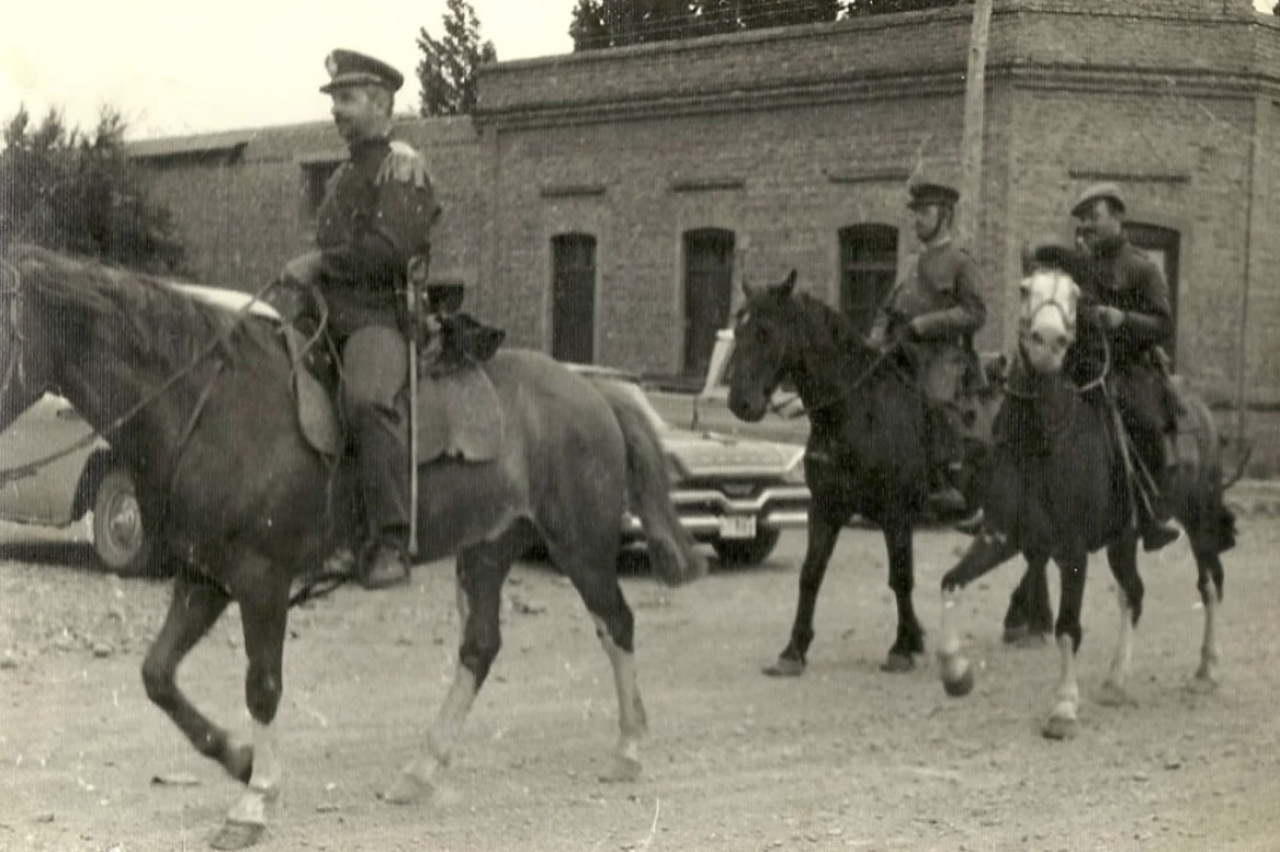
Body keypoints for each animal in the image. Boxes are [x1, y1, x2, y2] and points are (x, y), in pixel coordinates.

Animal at [0, 241, 701, 844]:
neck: (211, 408)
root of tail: (594, 389)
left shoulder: (261, 582)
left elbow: (262, 685)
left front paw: (254, 801)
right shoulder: (203, 579)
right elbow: (157, 676)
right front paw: (239, 759)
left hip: (579, 542)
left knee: (616, 623)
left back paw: (628, 749)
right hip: (488, 549)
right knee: (481, 647)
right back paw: (420, 771)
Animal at [936, 266, 1233, 736]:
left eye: (1076, 297)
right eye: (1024, 289)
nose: (1049, 340)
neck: (1042, 438)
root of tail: (1202, 411)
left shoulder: (1071, 552)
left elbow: (1067, 628)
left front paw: (1063, 707)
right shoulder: (1002, 537)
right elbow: (952, 581)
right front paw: (956, 673)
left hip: (1198, 520)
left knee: (1210, 584)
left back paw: (1206, 671)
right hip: (1124, 540)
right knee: (1134, 593)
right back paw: (1115, 681)